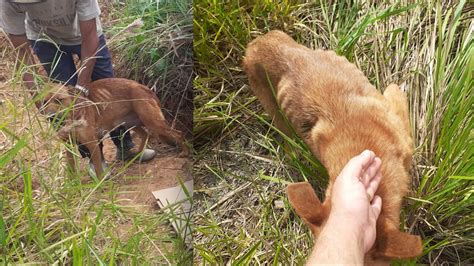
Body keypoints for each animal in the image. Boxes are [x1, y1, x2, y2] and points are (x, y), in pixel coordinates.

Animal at [40, 77, 189, 178]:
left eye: (59, 100)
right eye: (44, 102)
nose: (51, 117)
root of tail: (146, 88)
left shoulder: (92, 143)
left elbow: (98, 167)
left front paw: (99, 183)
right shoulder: (69, 145)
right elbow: (70, 167)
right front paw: (72, 184)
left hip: (152, 122)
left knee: (178, 133)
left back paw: (184, 153)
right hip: (131, 123)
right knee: (145, 134)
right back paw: (138, 155)